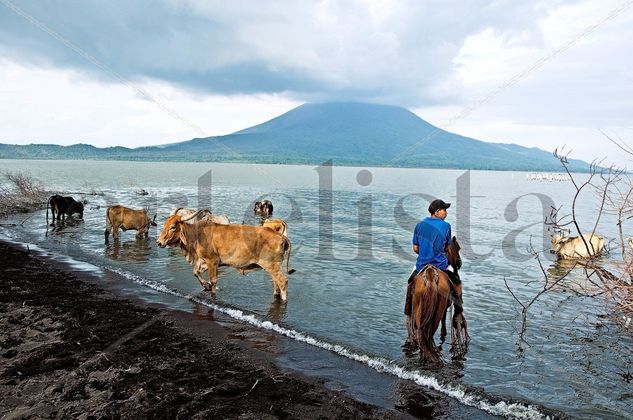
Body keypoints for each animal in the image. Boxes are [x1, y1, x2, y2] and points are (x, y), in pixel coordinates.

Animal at [154, 212, 296, 300]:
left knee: (282, 281)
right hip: (273, 268)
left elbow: (213, 281)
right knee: (276, 283)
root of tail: (280, 235)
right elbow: (195, 272)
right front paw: (205, 286)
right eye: (165, 225)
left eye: (173, 227)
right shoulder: (202, 261)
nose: (159, 242)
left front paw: (211, 290)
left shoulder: (212, 261)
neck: (196, 235)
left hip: (273, 266)